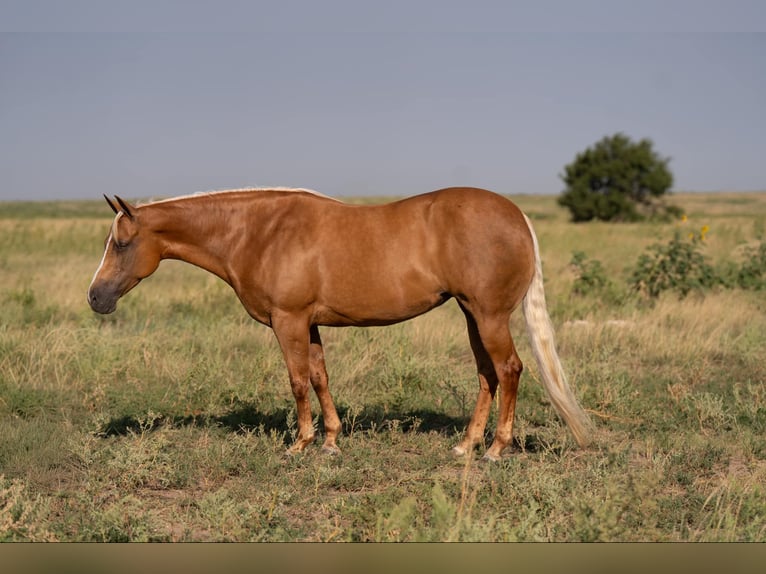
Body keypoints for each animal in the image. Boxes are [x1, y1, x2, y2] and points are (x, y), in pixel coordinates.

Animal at [88, 187, 592, 460]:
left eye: (121, 243)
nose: (96, 297)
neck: (261, 232)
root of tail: (516, 215)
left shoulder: (287, 321)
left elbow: (296, 381)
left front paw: (300, 444)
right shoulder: (308, 324)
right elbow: (319, 377)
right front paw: (330, 441)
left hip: (488, 316)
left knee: (509, 370)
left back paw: (494, 449)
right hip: (472, 315)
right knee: (487, 375)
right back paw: (465, 446)